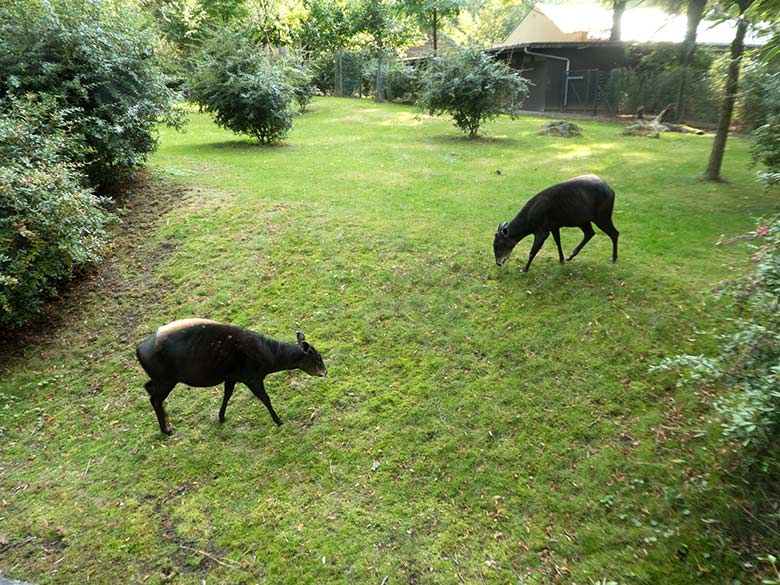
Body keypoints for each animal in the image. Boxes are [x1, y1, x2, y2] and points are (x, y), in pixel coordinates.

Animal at [137, 320, 326, 434]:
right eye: (317, 358)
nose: (325, 372)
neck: (269, 357)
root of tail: (138, 350)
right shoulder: (252, 377)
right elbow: (265, 398)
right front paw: (279, 421)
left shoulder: (232, 377)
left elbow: (227, 395)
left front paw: (221, 417)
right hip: (166, 379)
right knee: (154, 398)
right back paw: (166, 430)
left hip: (161, 379)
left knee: (148, 387)